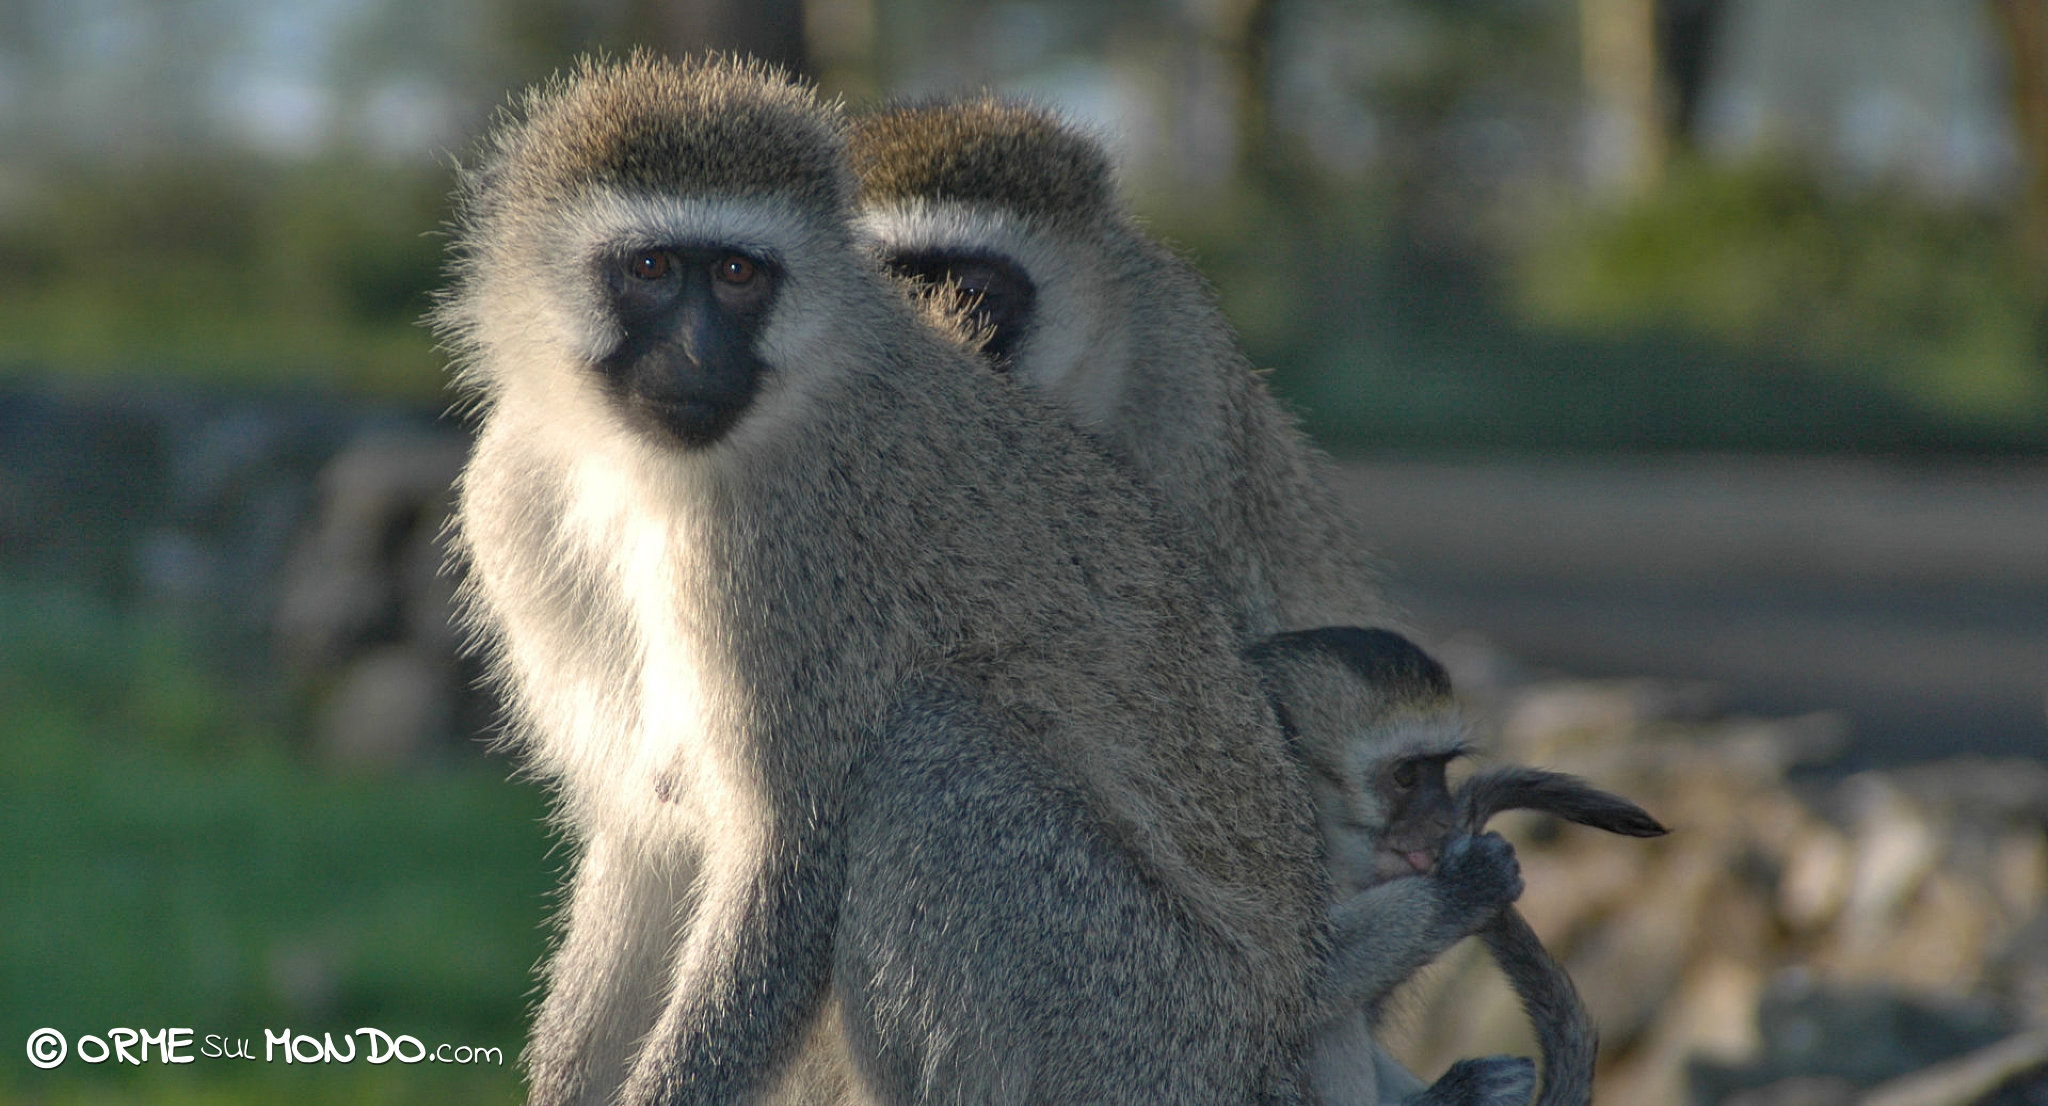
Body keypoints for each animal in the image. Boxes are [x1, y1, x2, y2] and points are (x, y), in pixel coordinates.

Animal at [438, 54, 1318, 1106]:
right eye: (651, 270)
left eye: (738, 275)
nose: (698, 356)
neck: (641, 468)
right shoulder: (510, 495)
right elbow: (647, 834)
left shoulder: (782, 548)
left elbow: (791, 858)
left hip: (1140, 1028)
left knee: (927, 755)